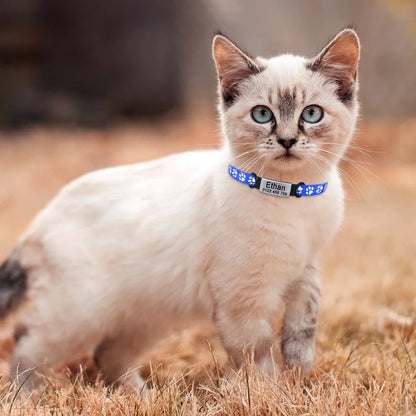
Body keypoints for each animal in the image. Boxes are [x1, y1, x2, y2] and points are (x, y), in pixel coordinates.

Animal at [0, 29, 360, 390]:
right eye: (262, 115)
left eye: (311, 114)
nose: (287, 141)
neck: (292, 198)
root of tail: (40, 219)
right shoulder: (244, 299)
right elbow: (257, 358)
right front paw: (269, 393)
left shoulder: (306, 269)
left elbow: (304, 325)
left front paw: (300, 373)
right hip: (80, 314)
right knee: (26, 343)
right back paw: (24, 396)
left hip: (146, 315)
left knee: (106, 355)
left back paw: (140, 396)